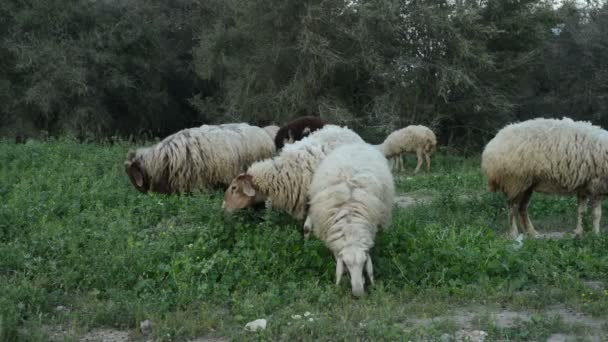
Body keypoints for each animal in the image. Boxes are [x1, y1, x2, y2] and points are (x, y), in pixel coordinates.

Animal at [480, 117, 608, 238]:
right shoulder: (597, 185)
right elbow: (596, 214)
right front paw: (596, 235)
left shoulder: (583, 187)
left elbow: (581, 212)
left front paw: (580, 232)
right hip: (515, 182)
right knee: (512, 209)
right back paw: (514, 233)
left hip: (527, 186)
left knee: (522, 208)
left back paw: (531, 233)